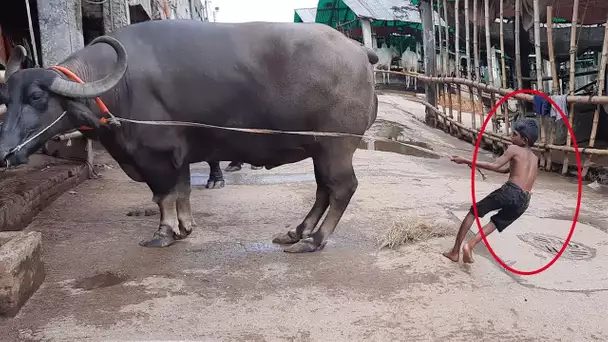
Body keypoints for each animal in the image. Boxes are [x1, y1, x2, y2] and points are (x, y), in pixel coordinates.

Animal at [0, 20, 378, 252]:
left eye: (37, 96)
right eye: (6, 98)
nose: (5, 152)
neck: (120, 85)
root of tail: (359, 50)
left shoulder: (154, 155)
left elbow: (162, 196)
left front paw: (163, 233)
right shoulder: (178, 155)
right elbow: (182, 191)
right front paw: (185, 227)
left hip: (336, 146)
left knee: (342, 187)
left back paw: (314, 241)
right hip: (318, 148)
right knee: (323, 189)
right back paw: (297, 232)